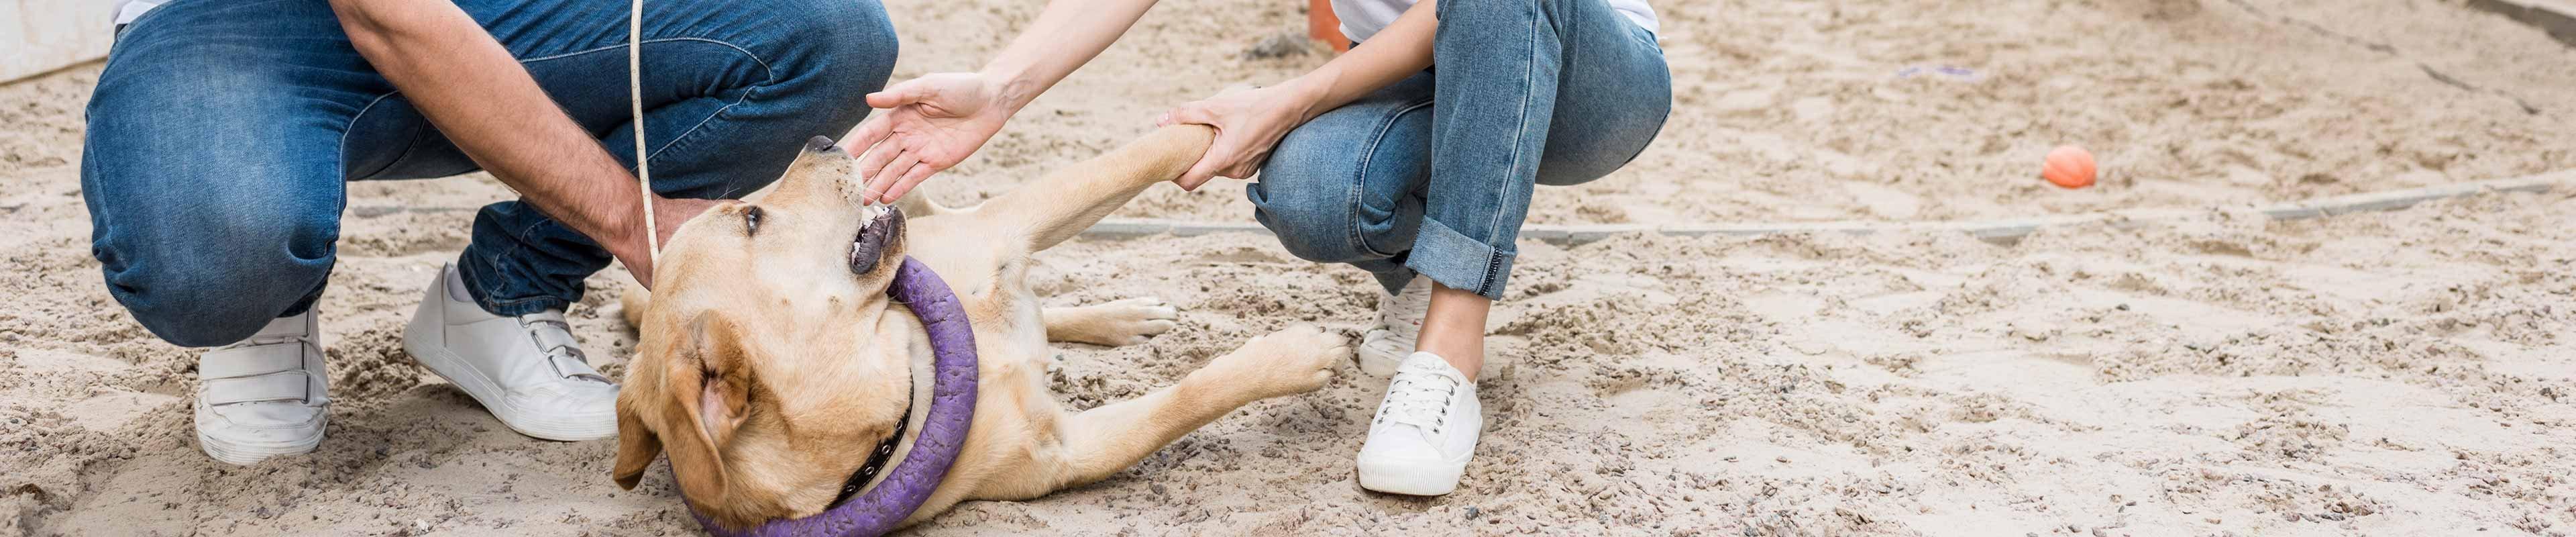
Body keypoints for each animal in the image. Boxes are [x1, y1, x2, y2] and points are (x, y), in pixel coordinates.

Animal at [615, 127, 1360, 532]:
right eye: (753, 219)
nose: (823, 140)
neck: (909, 374)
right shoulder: (1070, 451)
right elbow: (1181, 402)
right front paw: (1297, 353)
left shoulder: (1006, 220)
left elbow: (1150, 150)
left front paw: (1242, 107)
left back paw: (1124, 314)